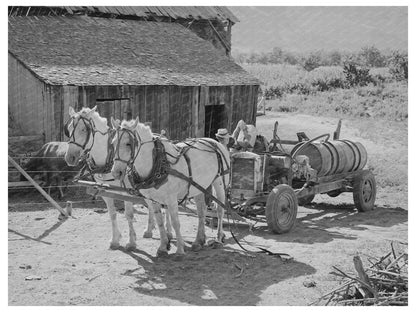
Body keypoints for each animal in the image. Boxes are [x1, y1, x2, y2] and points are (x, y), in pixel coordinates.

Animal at [63, 106, 171, 252]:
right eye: (68, 129)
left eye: (84, 129)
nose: (70, 158)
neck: (107, 159)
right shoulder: (105, 192)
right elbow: (112, 214)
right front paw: (115, 240)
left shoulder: (128, 192)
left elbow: (129, 215)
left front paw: (131, 242)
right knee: (150, 205)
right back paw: (149, 229)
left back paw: (169, 232)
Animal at [110, 117, 231, 256]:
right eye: (113, 143)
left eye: (128, 144)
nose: (116, 173)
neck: (159, 162)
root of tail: (215, 142)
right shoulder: (154, 200)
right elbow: (160, 221)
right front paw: (163, 246)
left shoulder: (172, 199)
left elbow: (175, 222)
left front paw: (179, 250)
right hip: (199, 187)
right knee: (202, 212)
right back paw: (198, 241)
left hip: (219, 183)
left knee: (220, 211)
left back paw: (218, 238)